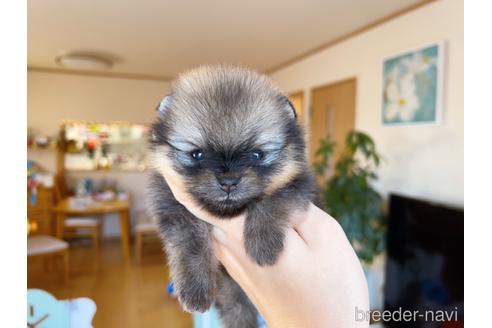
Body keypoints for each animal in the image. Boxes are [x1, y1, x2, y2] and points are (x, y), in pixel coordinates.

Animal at [147, 65, 316, 326]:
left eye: (257, 155)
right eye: (197, 154)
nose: (228, 182)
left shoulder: (297, 182)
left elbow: (273, 200)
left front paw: (263, 243)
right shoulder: (172, 206)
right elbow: (191, 242)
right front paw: (195, 288)